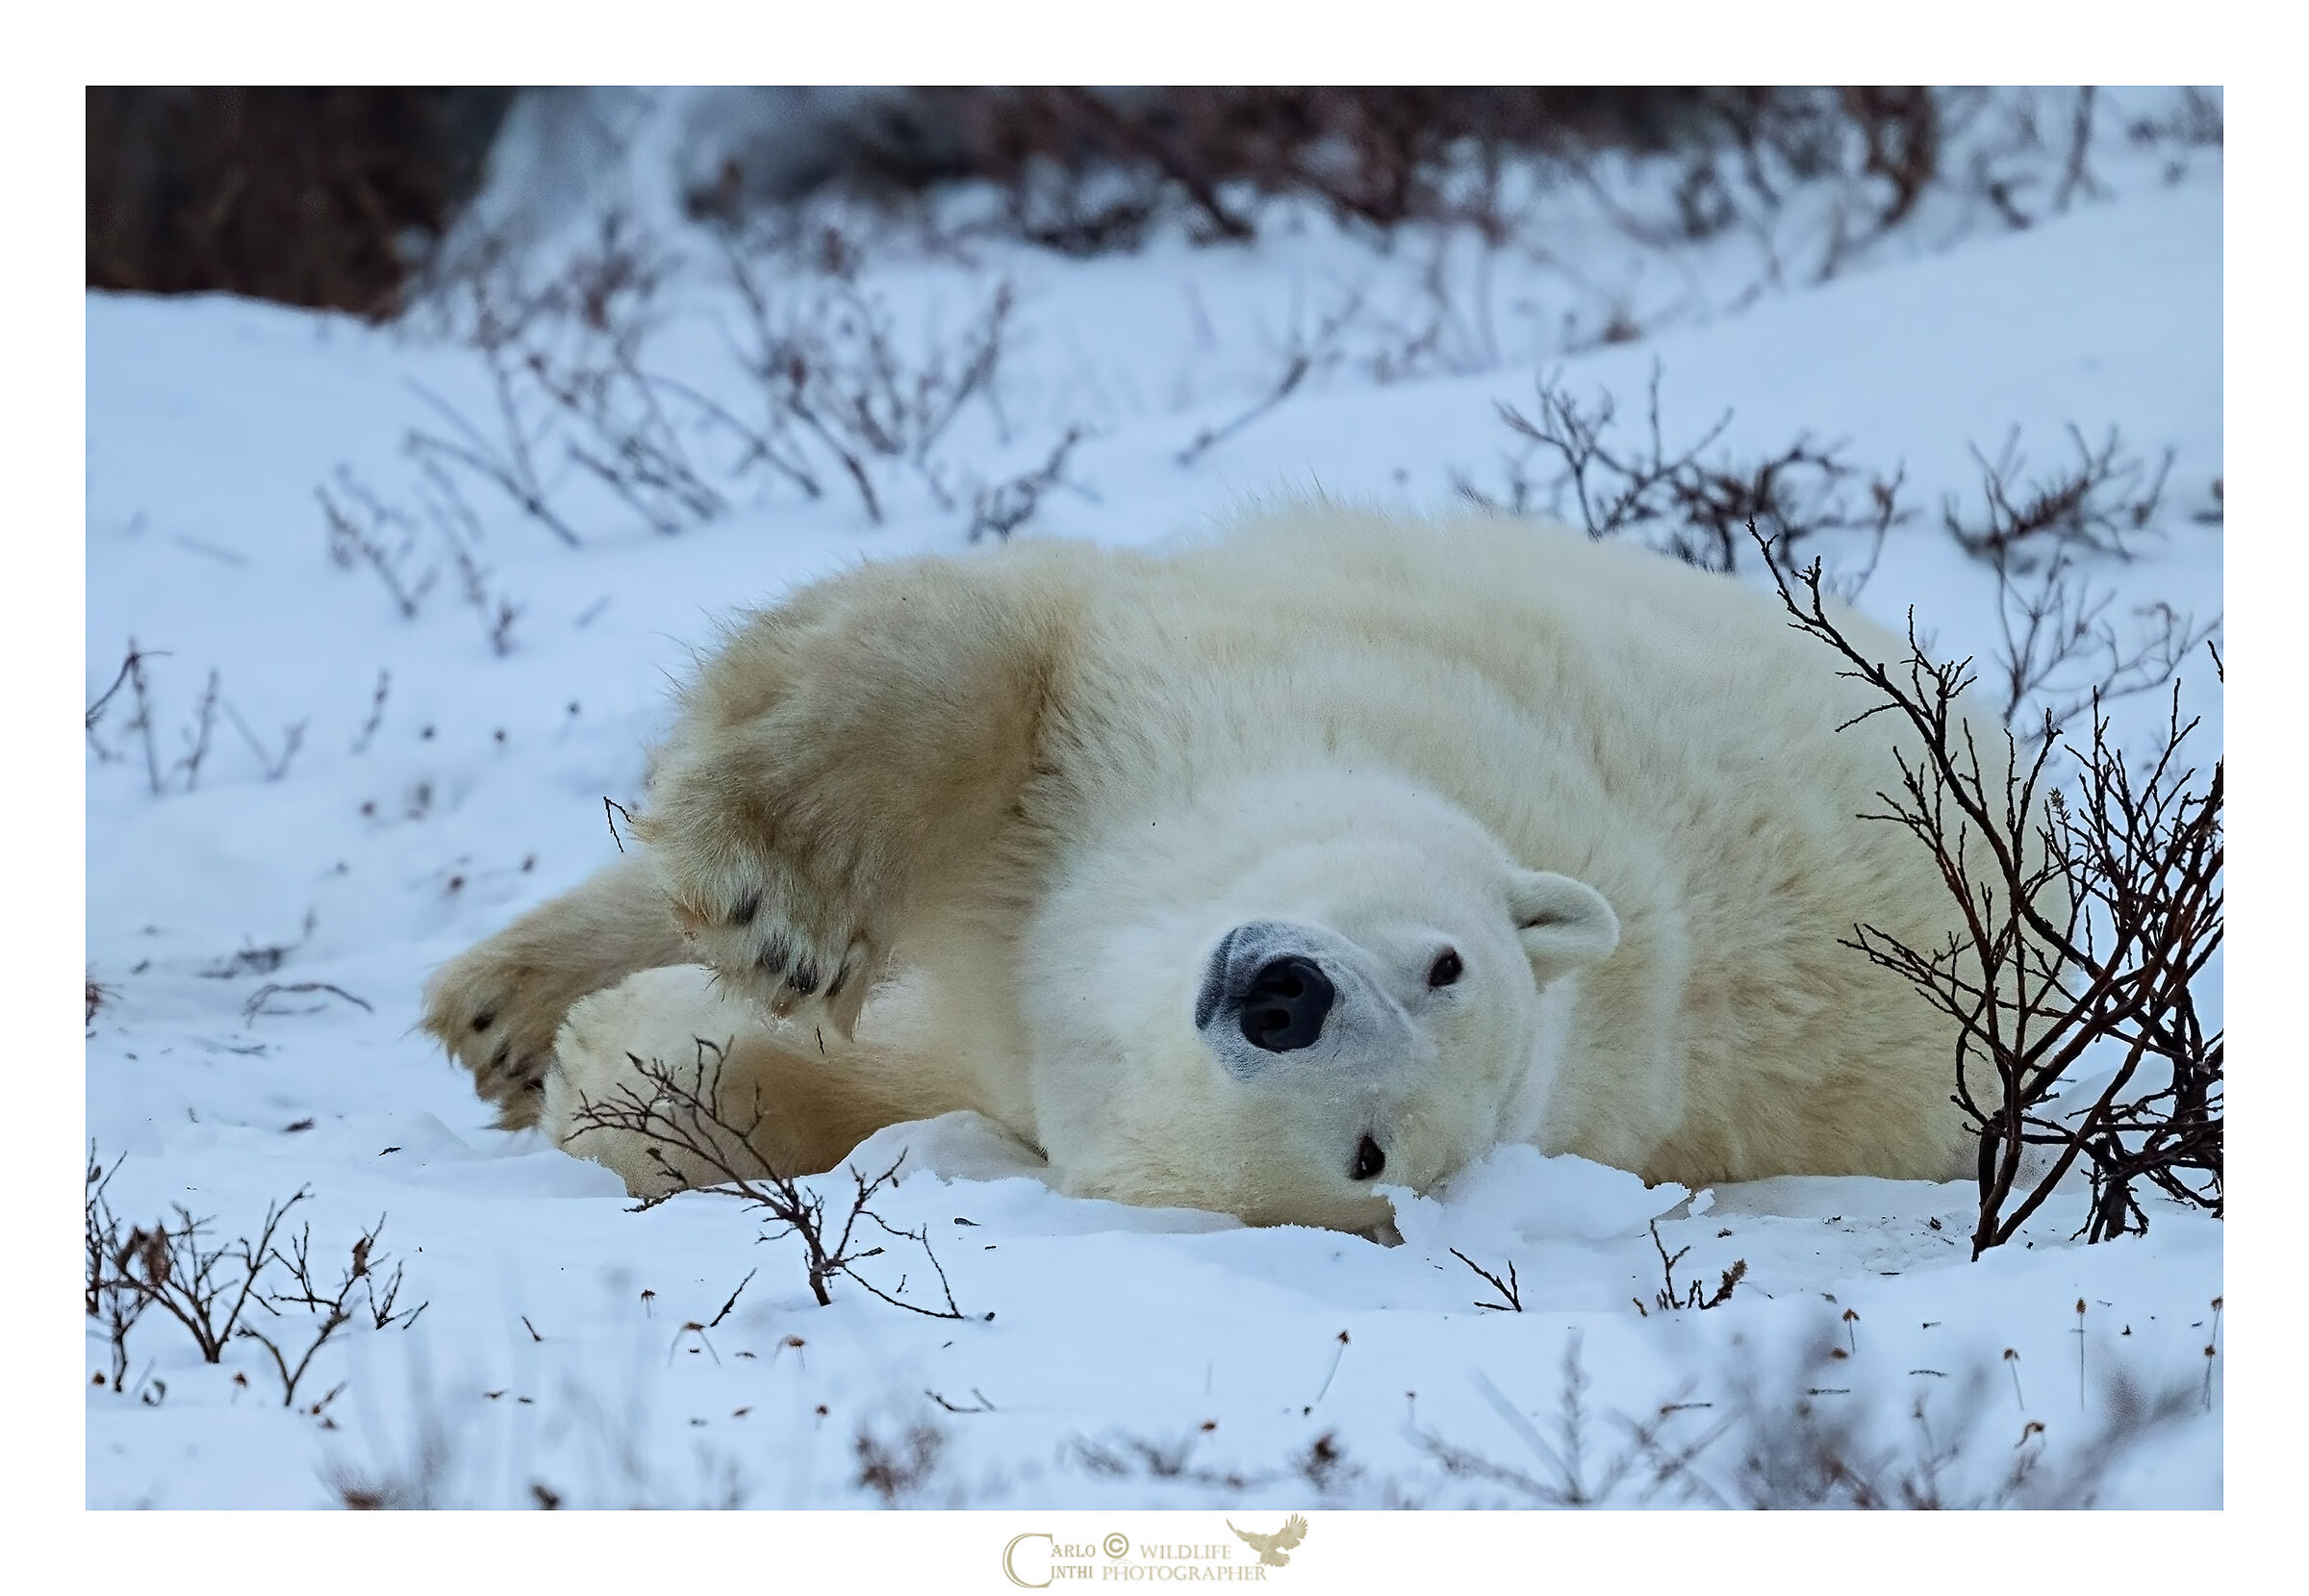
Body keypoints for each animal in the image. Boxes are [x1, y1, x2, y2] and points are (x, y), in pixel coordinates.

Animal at [421, 505, 1987, 1233]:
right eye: (1447, 961)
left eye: (1370, 1151)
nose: (1282, 993)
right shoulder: (1248, 694)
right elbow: (994, 648)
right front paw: (774, 904)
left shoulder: (1036, 1057)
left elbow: (834, 1089)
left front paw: (623, 1066)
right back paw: (498, 1001)